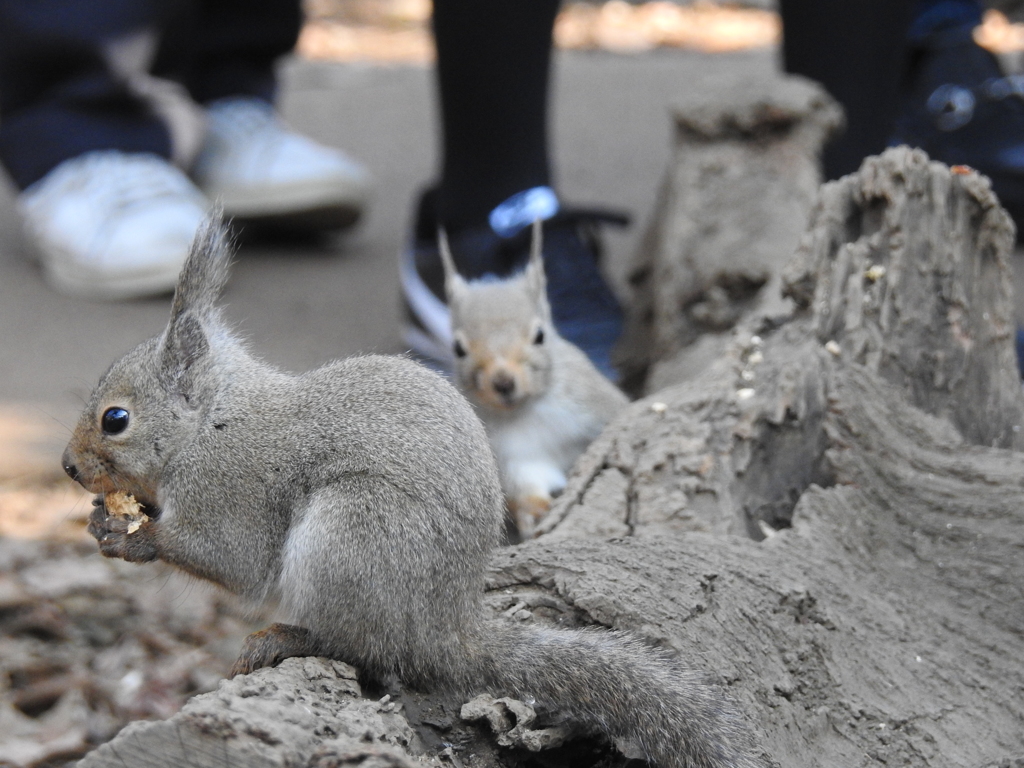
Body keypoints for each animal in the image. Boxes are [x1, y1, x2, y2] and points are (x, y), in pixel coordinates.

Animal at [438, 219, 626, 536]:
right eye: (458, 349)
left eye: (540, 335)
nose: (503, 383)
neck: (528, 409)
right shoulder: (513, 456)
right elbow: (527, 482)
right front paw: (534, 513)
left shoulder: (593, 403)